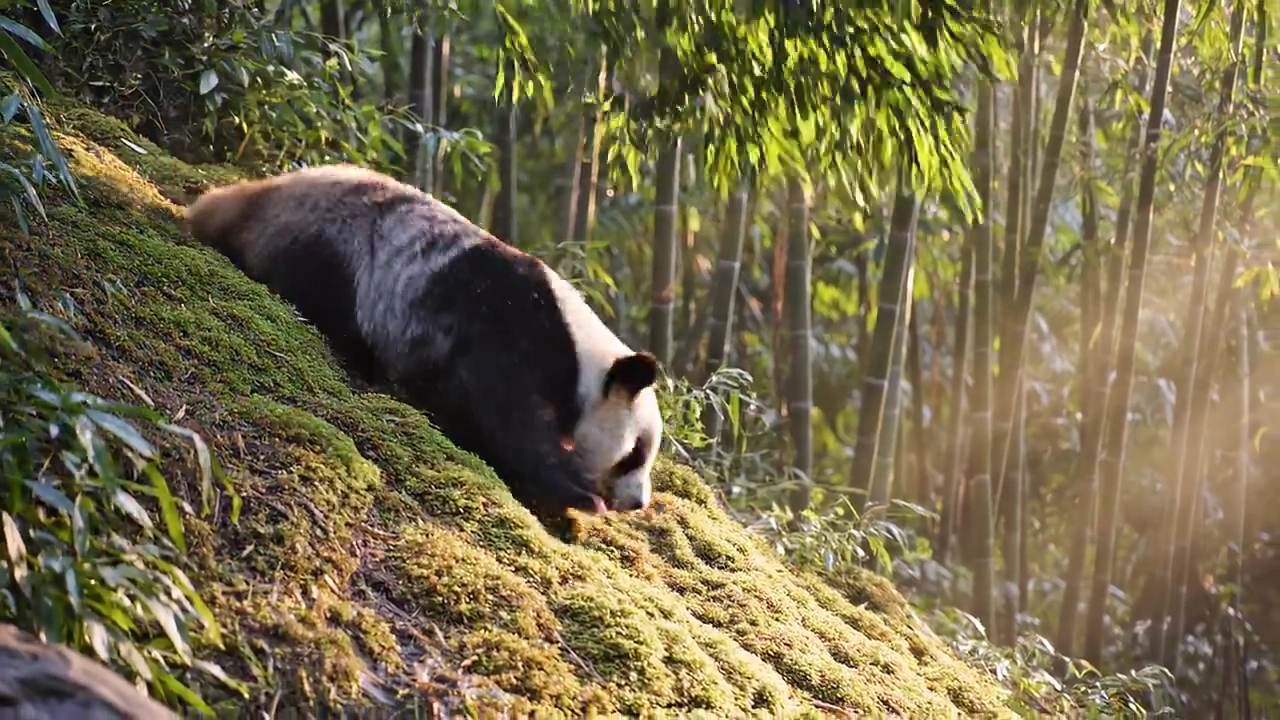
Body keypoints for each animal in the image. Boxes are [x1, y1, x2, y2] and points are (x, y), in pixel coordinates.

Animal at [183, 164, 663, 517]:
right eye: (635, 453)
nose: (638, 503)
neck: (580, 355)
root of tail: (253, 194)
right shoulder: (506, 329)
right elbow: (505, 418)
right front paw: (578, 494)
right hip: (333, 245)